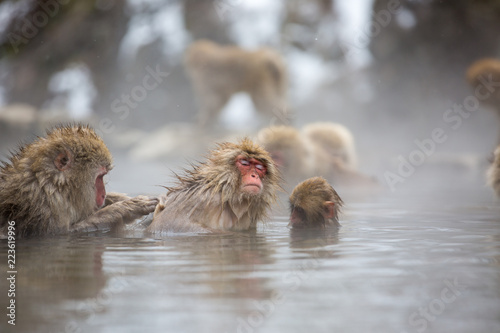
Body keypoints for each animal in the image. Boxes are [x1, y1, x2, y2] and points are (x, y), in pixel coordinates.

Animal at [0, 124, 158, 236]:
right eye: (100, 177)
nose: (103, 195)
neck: (46, 185)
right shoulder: (41, 210)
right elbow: (64, 233)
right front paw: (123, 208)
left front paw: (120, 199)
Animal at [147, 138, 282, 233]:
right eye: (244, 163)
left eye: (259, 167)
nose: (254, 176)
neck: (228, 195)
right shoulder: (201, 199)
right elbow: (168, 223)